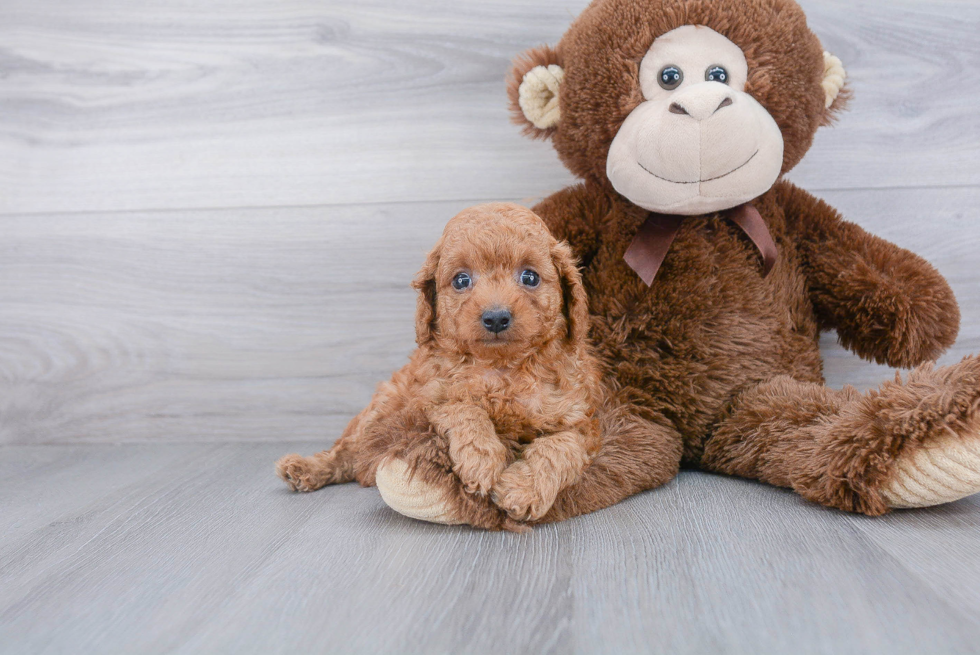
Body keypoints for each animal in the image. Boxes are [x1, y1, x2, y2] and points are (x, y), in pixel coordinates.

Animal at [276, 204, 604, 528]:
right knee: (348, 451)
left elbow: (559, 448)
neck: (501, 366)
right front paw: (480, 459)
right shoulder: (427, 399)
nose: (496, 317)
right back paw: (307, 467)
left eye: (530, 277)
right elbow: (463, 407)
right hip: (381, 407)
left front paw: (524, 490)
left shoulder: (580, 423)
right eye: (461, 280)